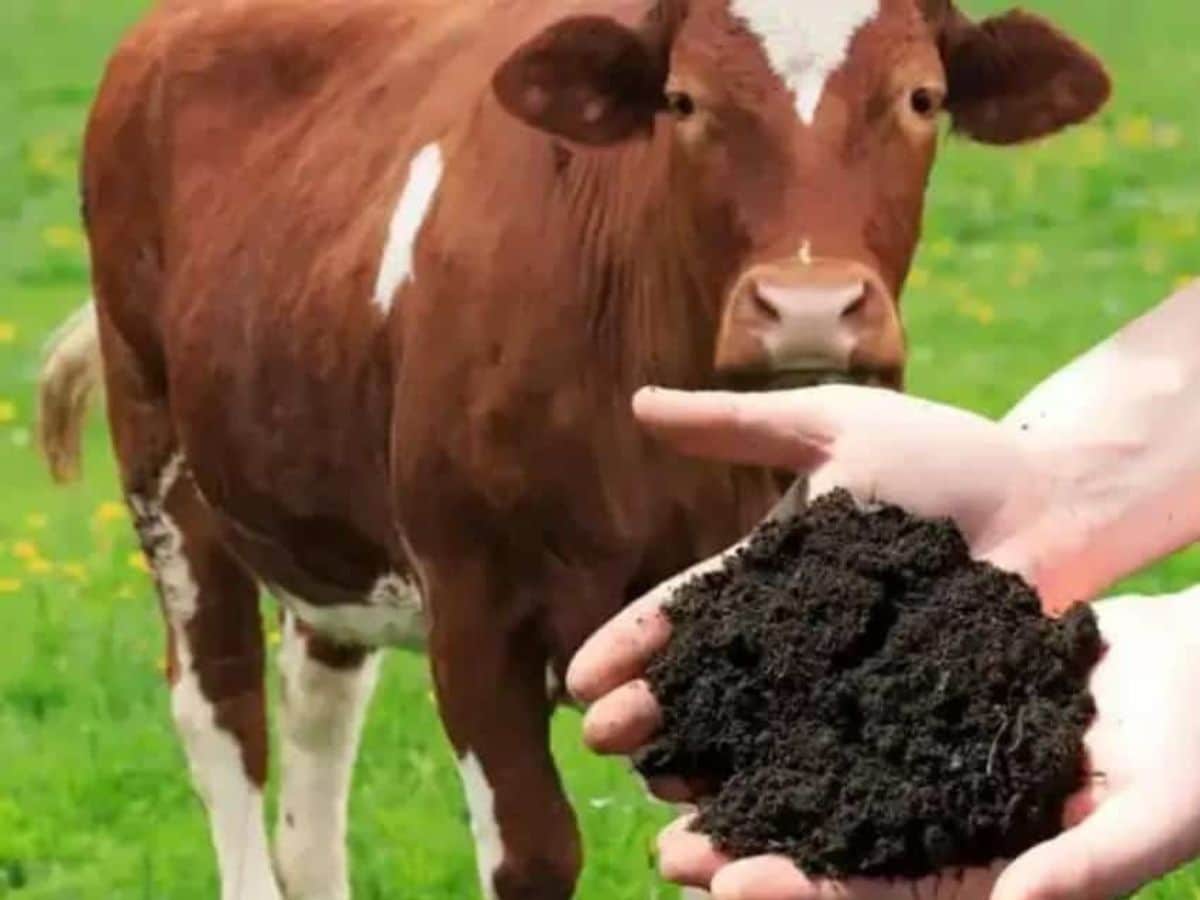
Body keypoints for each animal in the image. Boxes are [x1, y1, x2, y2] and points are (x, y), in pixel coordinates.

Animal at [37, 0, 1108, 897]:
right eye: (682, 99)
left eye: (921, 96)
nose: (808, 310)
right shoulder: (473, 613)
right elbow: (536, 854)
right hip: (160, 454)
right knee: (223, 712)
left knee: (317, 713)